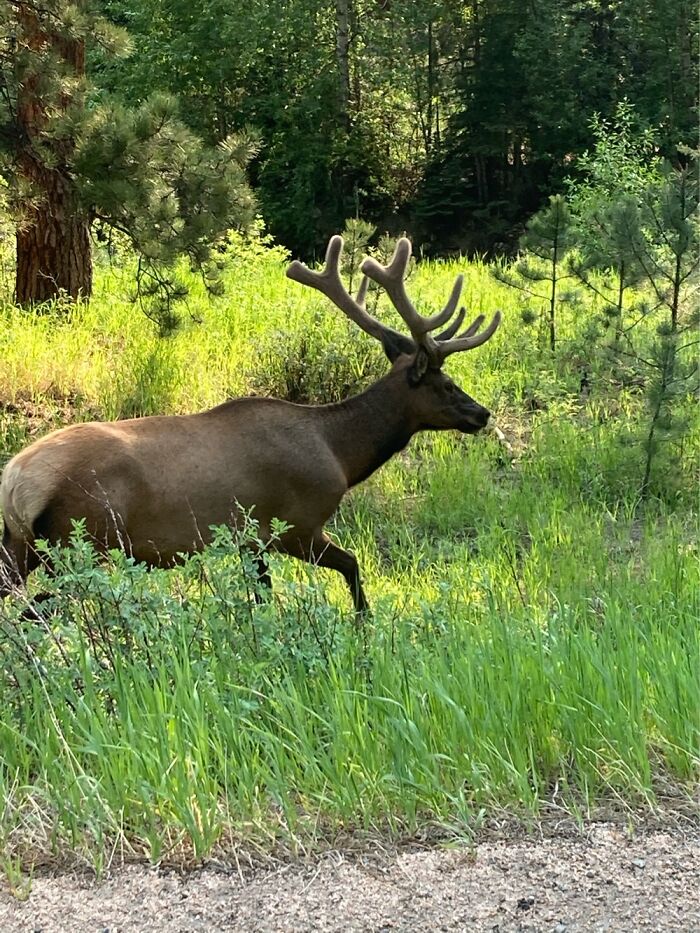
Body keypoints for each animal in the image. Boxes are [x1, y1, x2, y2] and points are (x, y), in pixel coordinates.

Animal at [0, 235, 501, 616]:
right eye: (447, 385)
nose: (482, 414)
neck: (340, 453)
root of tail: (15, 480)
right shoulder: (296, 524)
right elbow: (353, 567)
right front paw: (365, 626)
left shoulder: (251, 543)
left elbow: (262, 597)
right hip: (82, 540)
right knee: (36, 610)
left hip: (21, 545)